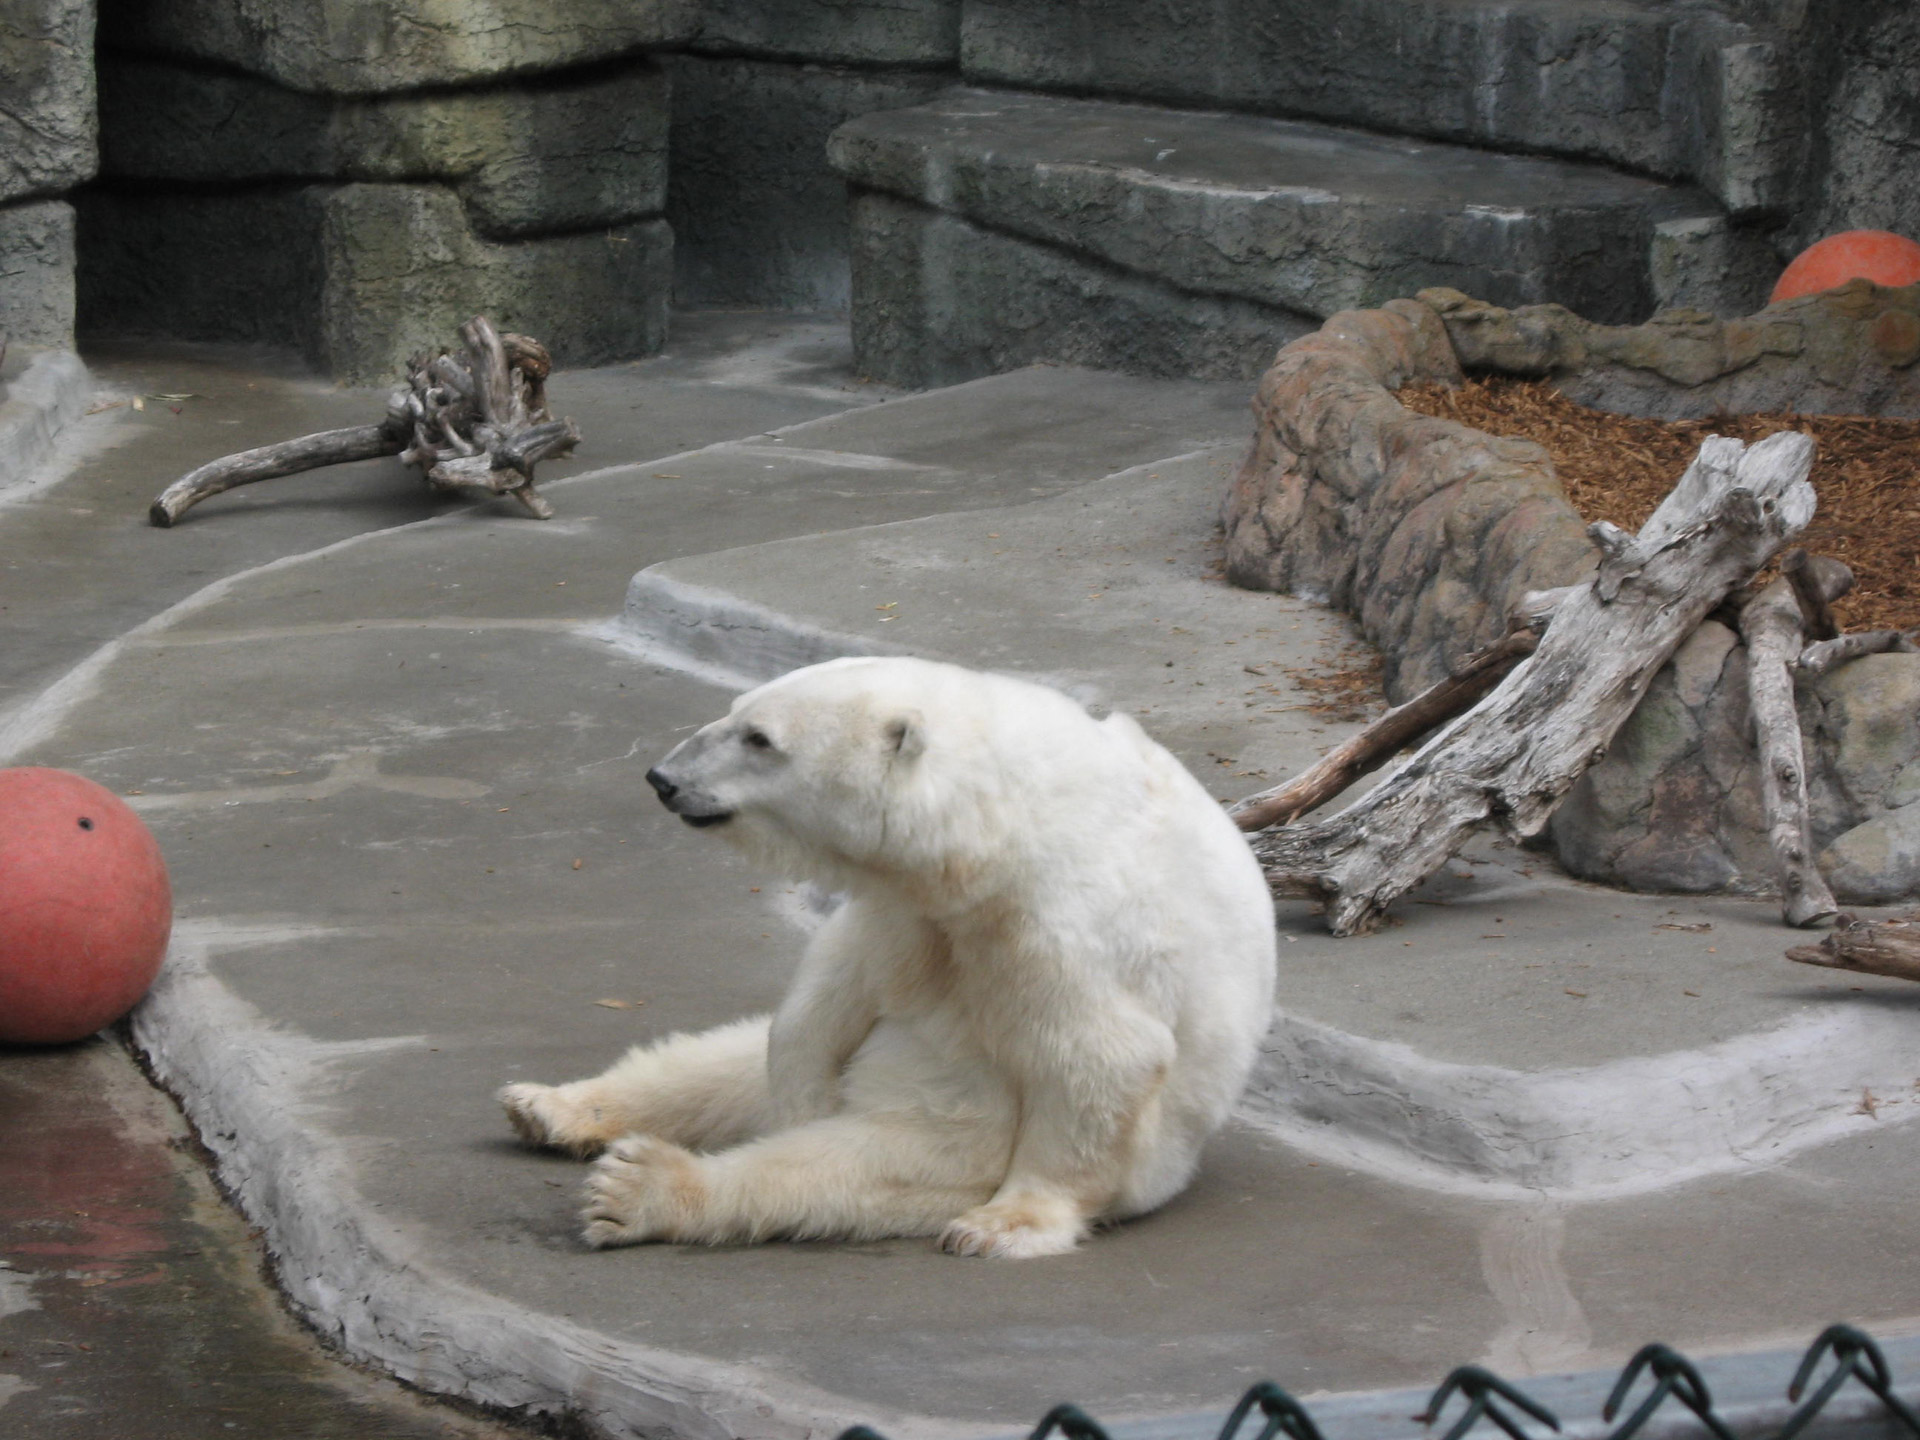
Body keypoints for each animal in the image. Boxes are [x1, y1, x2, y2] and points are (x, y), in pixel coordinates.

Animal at [499, 660, 1274, 1259]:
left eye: (760, 737)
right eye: (734, 712)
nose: (662, 778)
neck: (1001, 824)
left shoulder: (1066, 921)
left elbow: (1104, 1058)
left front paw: (1006, 1225)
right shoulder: (911, 905)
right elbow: (832, 984)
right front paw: (801, 1089)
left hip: (960, 1133)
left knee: (849, 1164)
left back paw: (640, 1190)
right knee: (717, 1065)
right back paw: (550, 1108)